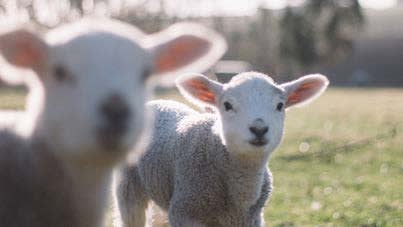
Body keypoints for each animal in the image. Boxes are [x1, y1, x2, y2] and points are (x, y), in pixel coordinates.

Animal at [113, 72, 328, 226]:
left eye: (280, 105)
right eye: (227, 105)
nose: (259, 129)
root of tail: (157, 102)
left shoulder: (251, 219)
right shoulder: (185, 212)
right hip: (128, 188)